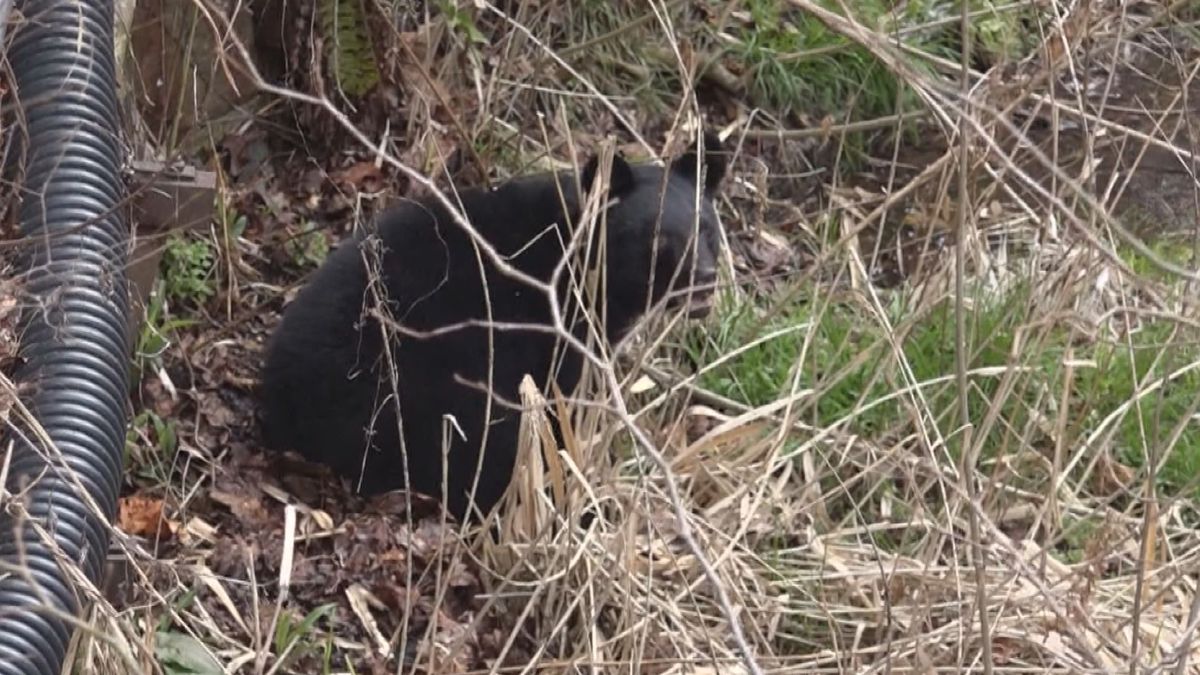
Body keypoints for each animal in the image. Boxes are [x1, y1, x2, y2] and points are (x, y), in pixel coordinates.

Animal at [258, 132, 727, 521]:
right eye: (658, 241)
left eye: (707, 229)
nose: (705, 278)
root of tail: (284, 404)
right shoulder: (557, 327)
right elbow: (562, 397)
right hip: (427, 392)